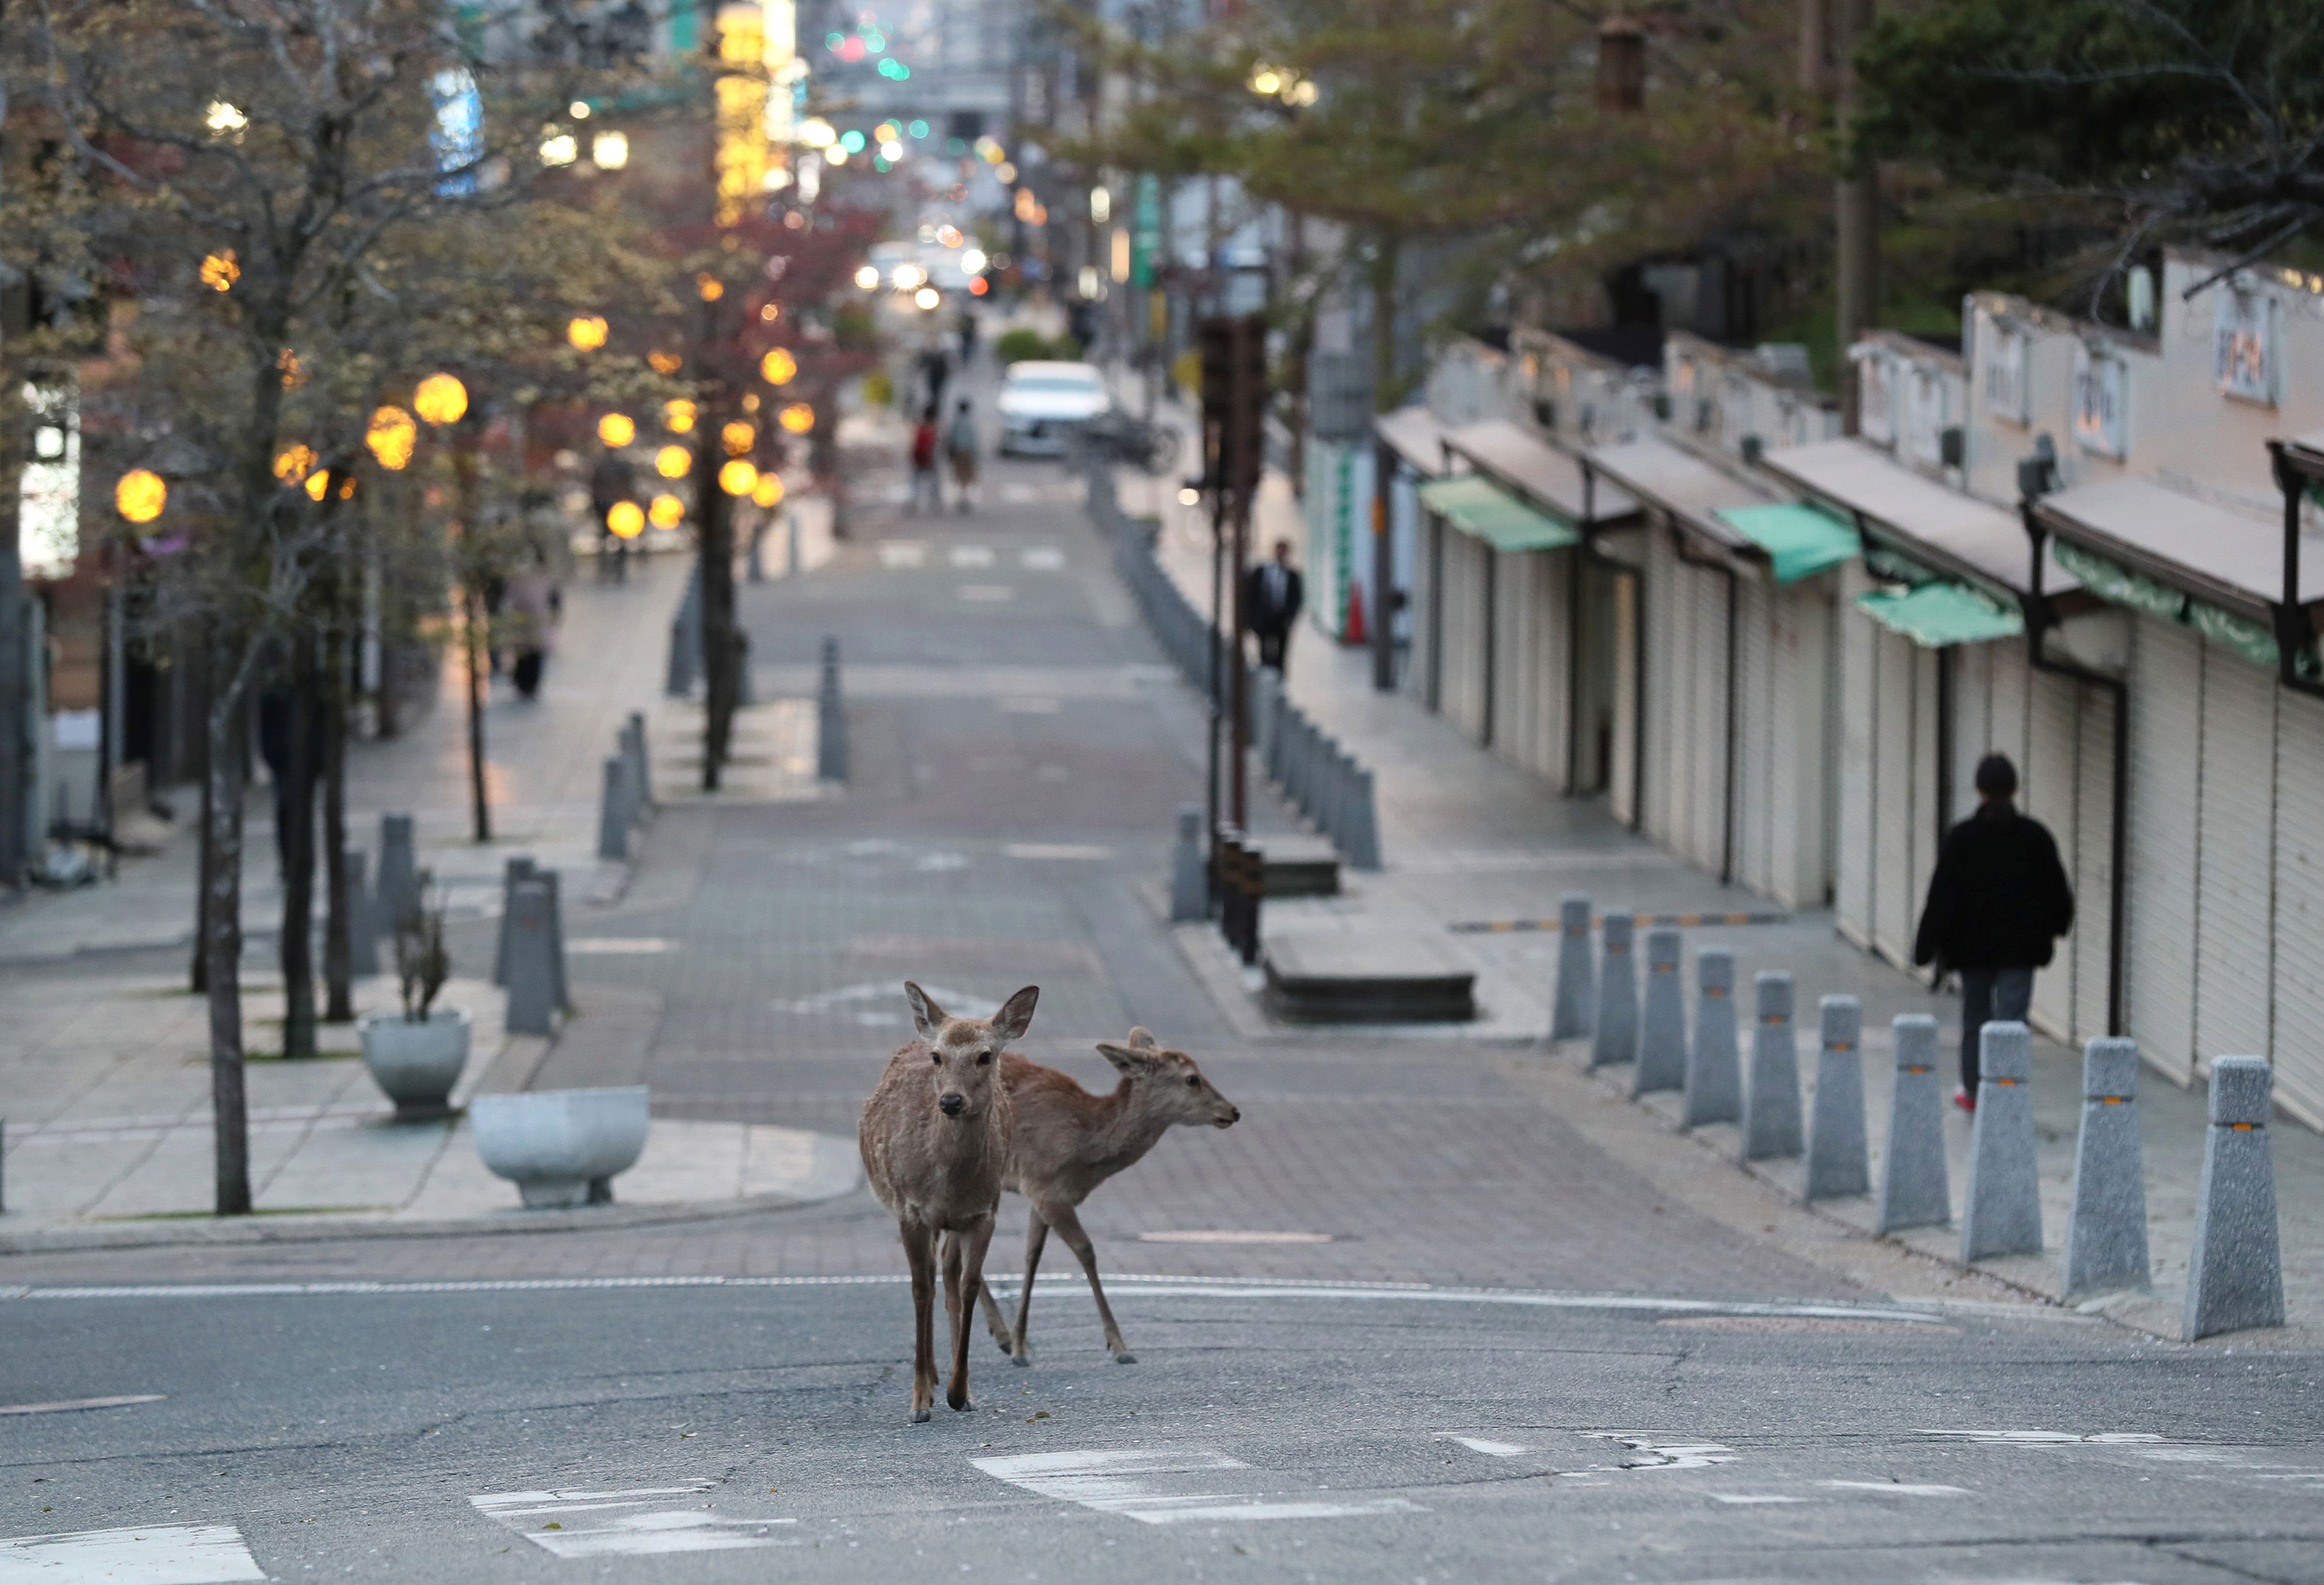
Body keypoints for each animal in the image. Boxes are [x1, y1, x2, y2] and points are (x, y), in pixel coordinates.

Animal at [860, 976, 1041, 1422]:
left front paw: (960, 1392)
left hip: (954, 1224)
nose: (952, 1101)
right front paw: (919, 1399)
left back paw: (955, 1385)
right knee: (929, 1278)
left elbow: (968, 1285)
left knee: (949, 1274)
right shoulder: (910, 1210)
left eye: (985, 1055)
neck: (947, 1182)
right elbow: (919, 1288)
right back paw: (930, 1378)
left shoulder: (983, 1213)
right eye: (938, 1057)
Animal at [976, 1022, 1246, 1357]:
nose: (1233, 1111)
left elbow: (1032, 1255)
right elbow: (1086, 1250)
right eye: (1192, 1078)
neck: (1084, 1149)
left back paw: (1000, 1333)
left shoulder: (1040, 1192)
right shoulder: (1045, 1185)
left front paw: (1019, 1343)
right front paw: (1119, 1346)